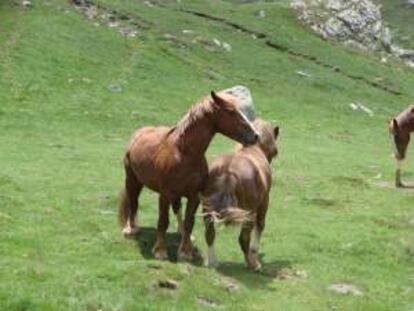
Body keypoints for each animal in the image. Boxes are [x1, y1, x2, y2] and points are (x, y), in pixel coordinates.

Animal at [118, 91, 258, 260]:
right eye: (230, 111)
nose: (255, 135)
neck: (184, 154)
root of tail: (139, 133)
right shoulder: (164, 195)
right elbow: (163, 221)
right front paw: (160, 251)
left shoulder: (194, 196)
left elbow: (189, 221)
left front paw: (185, 251)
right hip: (133, 180)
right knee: (133, 202)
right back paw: (130, 229)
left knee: (177, 209)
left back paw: (183, 234)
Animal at [200, 119, 278, 270]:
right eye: (275, 151)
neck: (253, 149)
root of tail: (228, 170)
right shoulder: (264, 201)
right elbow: (260, 225)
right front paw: (255, 252)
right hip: (249, 212)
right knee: (243, 238)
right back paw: (253, 264)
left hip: (207, 208)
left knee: (209, 233)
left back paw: (212, 263)